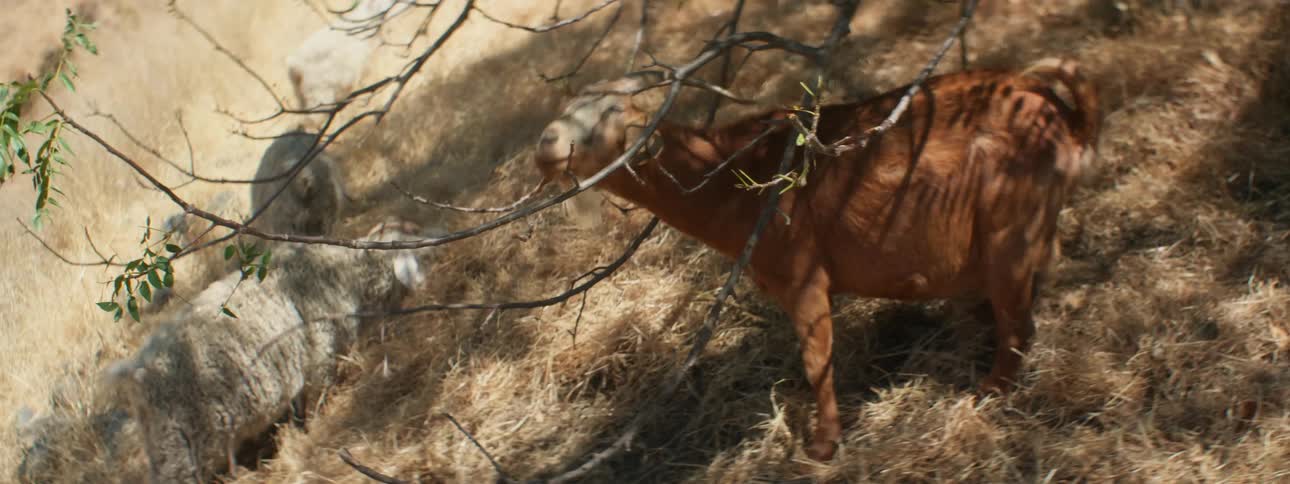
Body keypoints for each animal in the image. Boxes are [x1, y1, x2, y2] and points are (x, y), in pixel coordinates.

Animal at [534, 58, 1101, 461]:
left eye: (611, 113)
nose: (546, 145)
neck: (731, 174)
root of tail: (1063, 117)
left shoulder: (802, 276)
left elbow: (817, 361)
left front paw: (823, 446)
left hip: (1010, 231)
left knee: (1019, 323)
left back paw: (989, 392)